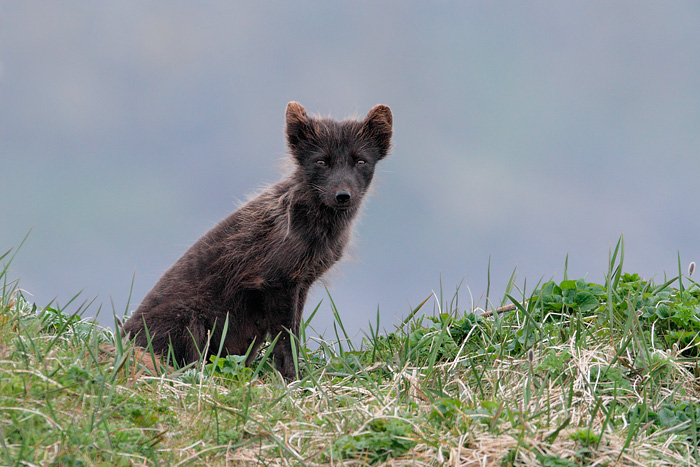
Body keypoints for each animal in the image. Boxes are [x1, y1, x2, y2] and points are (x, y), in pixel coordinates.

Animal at [122, 102, 392, 380]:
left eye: (360, 161)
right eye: (321, 161)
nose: (343, 195)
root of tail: (124, 338)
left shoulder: (301, 283)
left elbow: (293, 335)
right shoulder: (277, 282)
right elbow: (286, 341)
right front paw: (292, 379)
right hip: (189, 321)